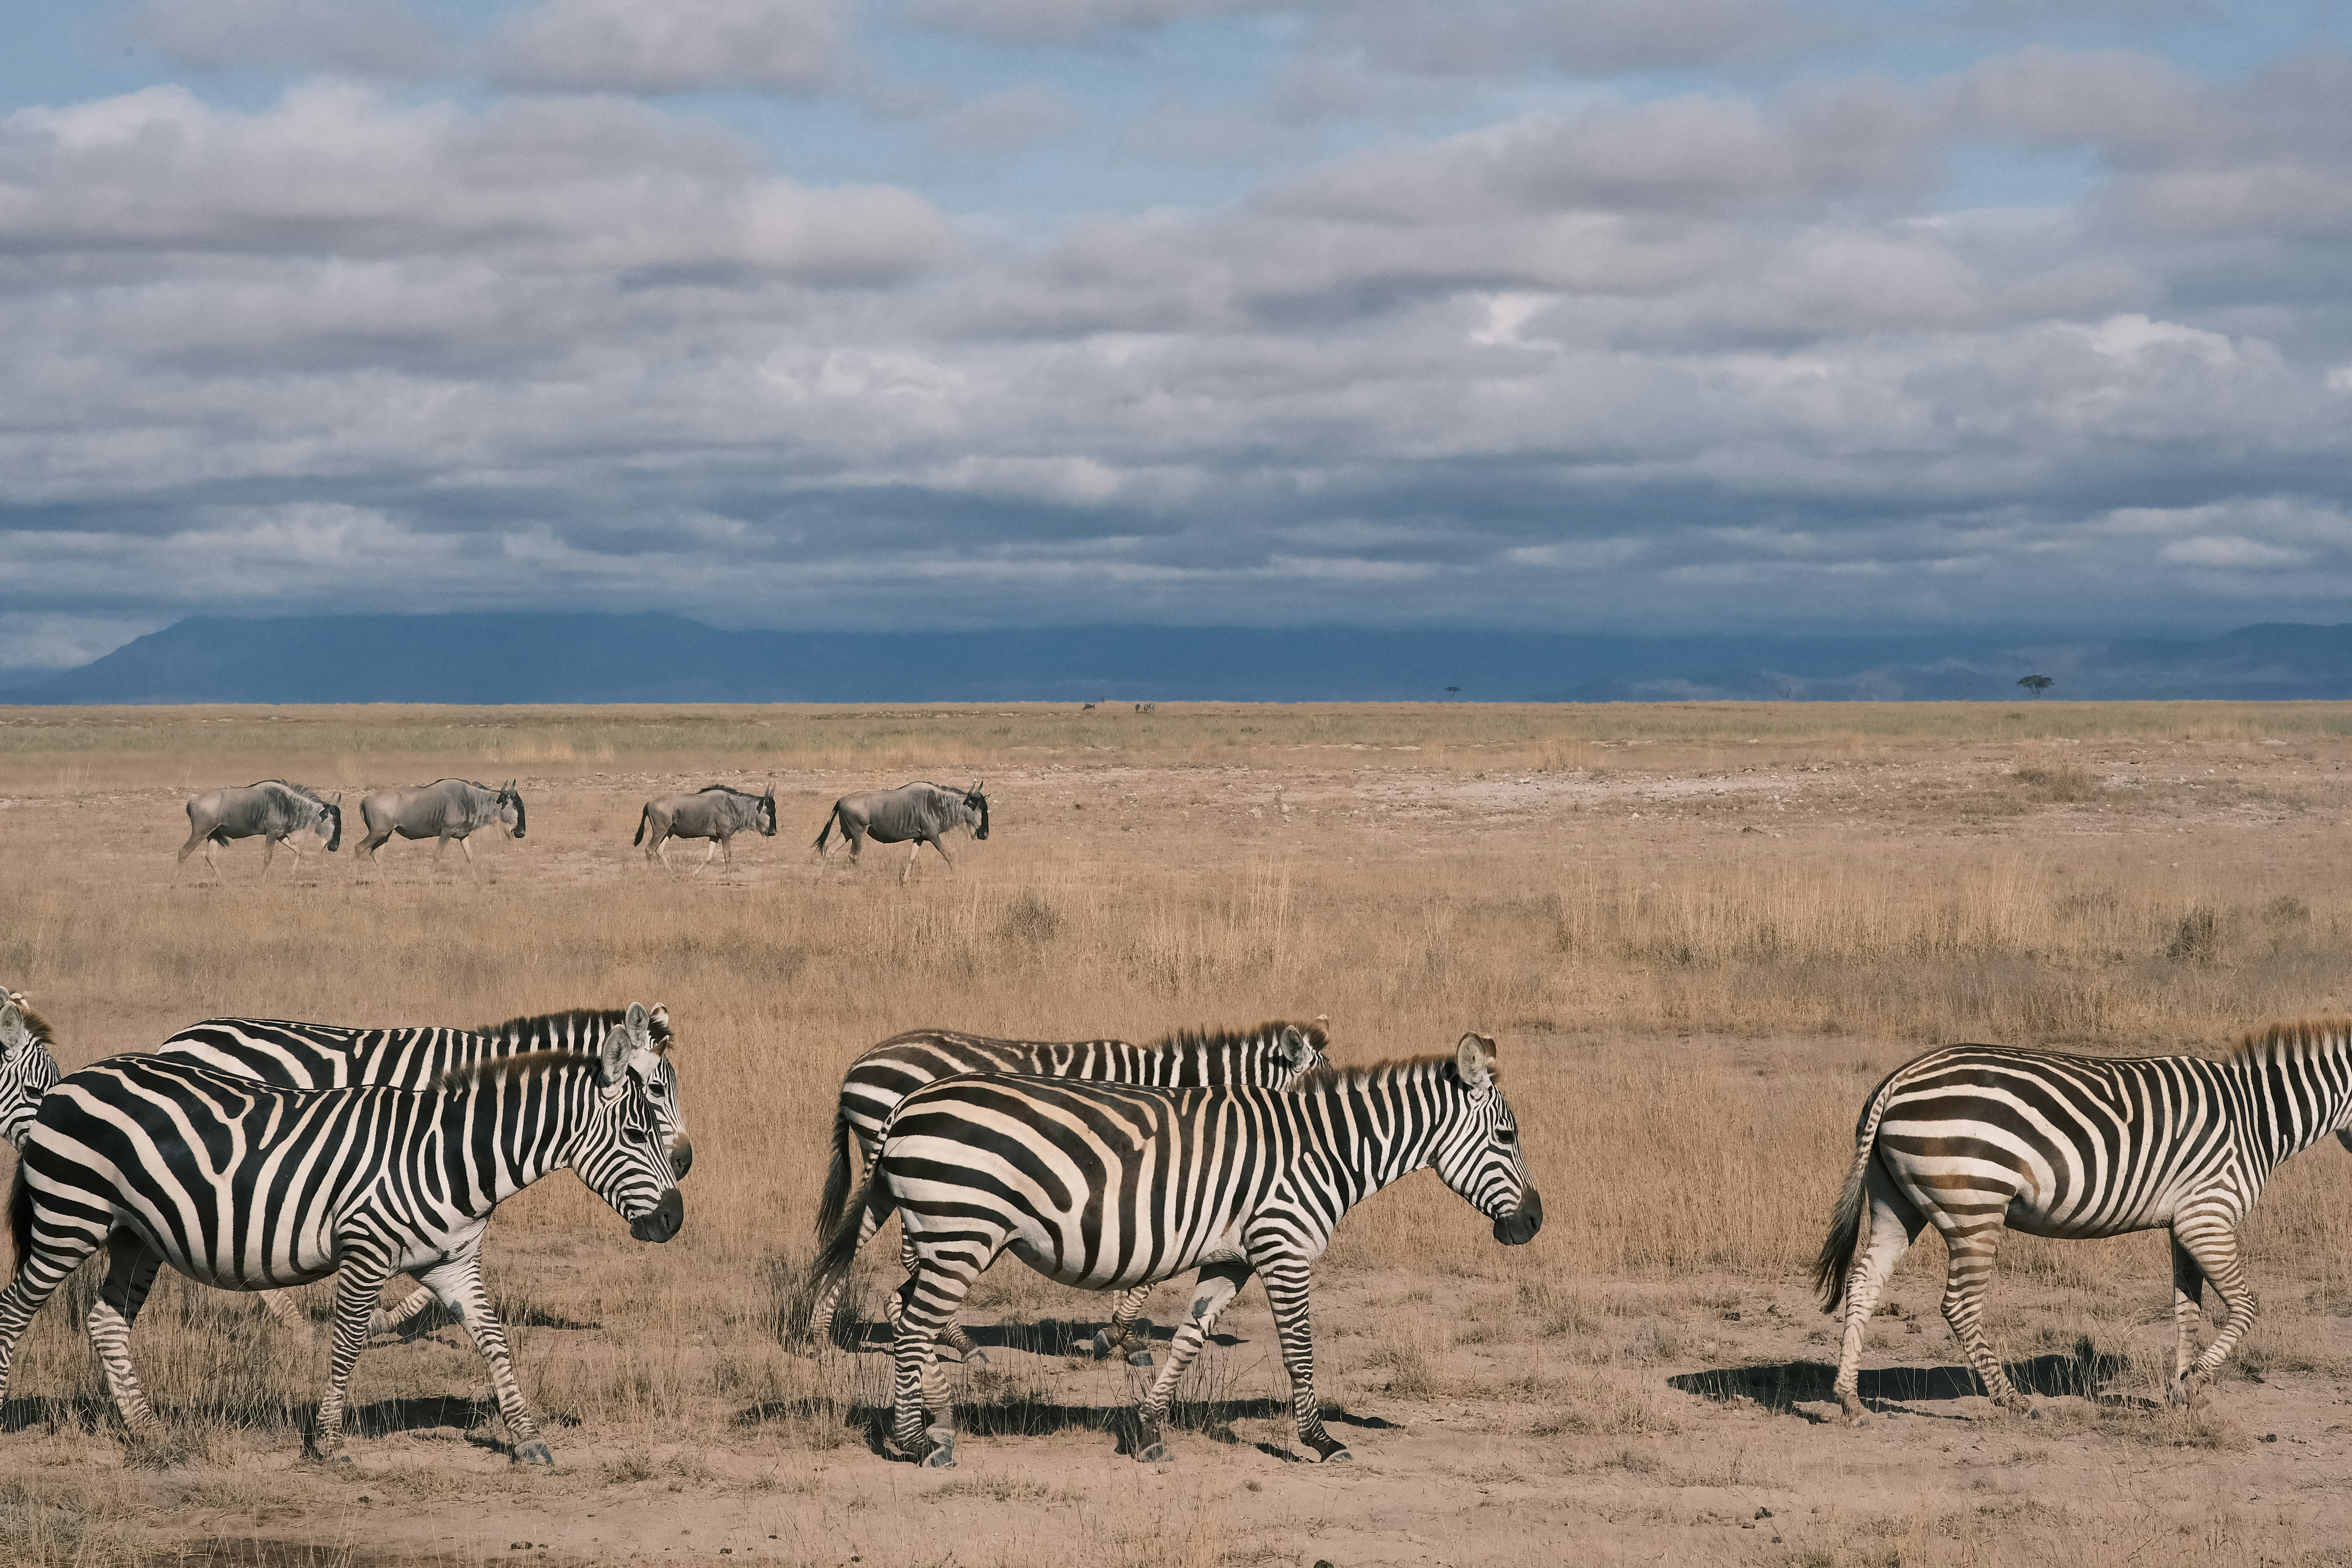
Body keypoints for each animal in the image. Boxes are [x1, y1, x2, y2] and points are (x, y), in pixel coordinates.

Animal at [803, 1020, 1331, 1364]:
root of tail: (858, 1065)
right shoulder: (1152, 1183)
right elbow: (1148, 1268)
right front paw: (1118, 1338)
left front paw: (1124, 1336)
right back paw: (949, 1341)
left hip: (889, 1179)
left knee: (853, 1242)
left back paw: (822, 1338)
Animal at [1815, 1022, 2352, 1425]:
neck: (2259, 1117)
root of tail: (1898, 1078)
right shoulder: (2208, 1216)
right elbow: (2246, 1307)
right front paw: (2195, 1381)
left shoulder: (2184, 1222)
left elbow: (2188, 1310)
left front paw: (2182, 1391)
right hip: (1976, 1206)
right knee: (1959, 1305)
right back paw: (2014, 1401)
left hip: (1895, 1203)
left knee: (1864, 1282)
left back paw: (1850, 1400)